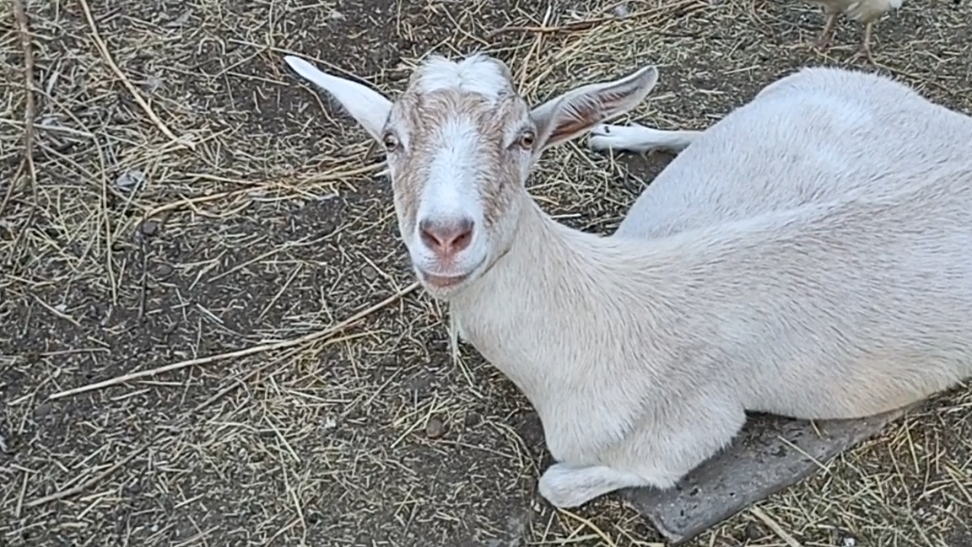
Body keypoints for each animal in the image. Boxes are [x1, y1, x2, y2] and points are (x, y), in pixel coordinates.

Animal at [284, 53, 972, 509]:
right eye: (390, 139)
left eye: (523, 139)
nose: (446, 235)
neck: (600, 305)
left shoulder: (693, 429)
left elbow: (556, 484)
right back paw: (620, 133)